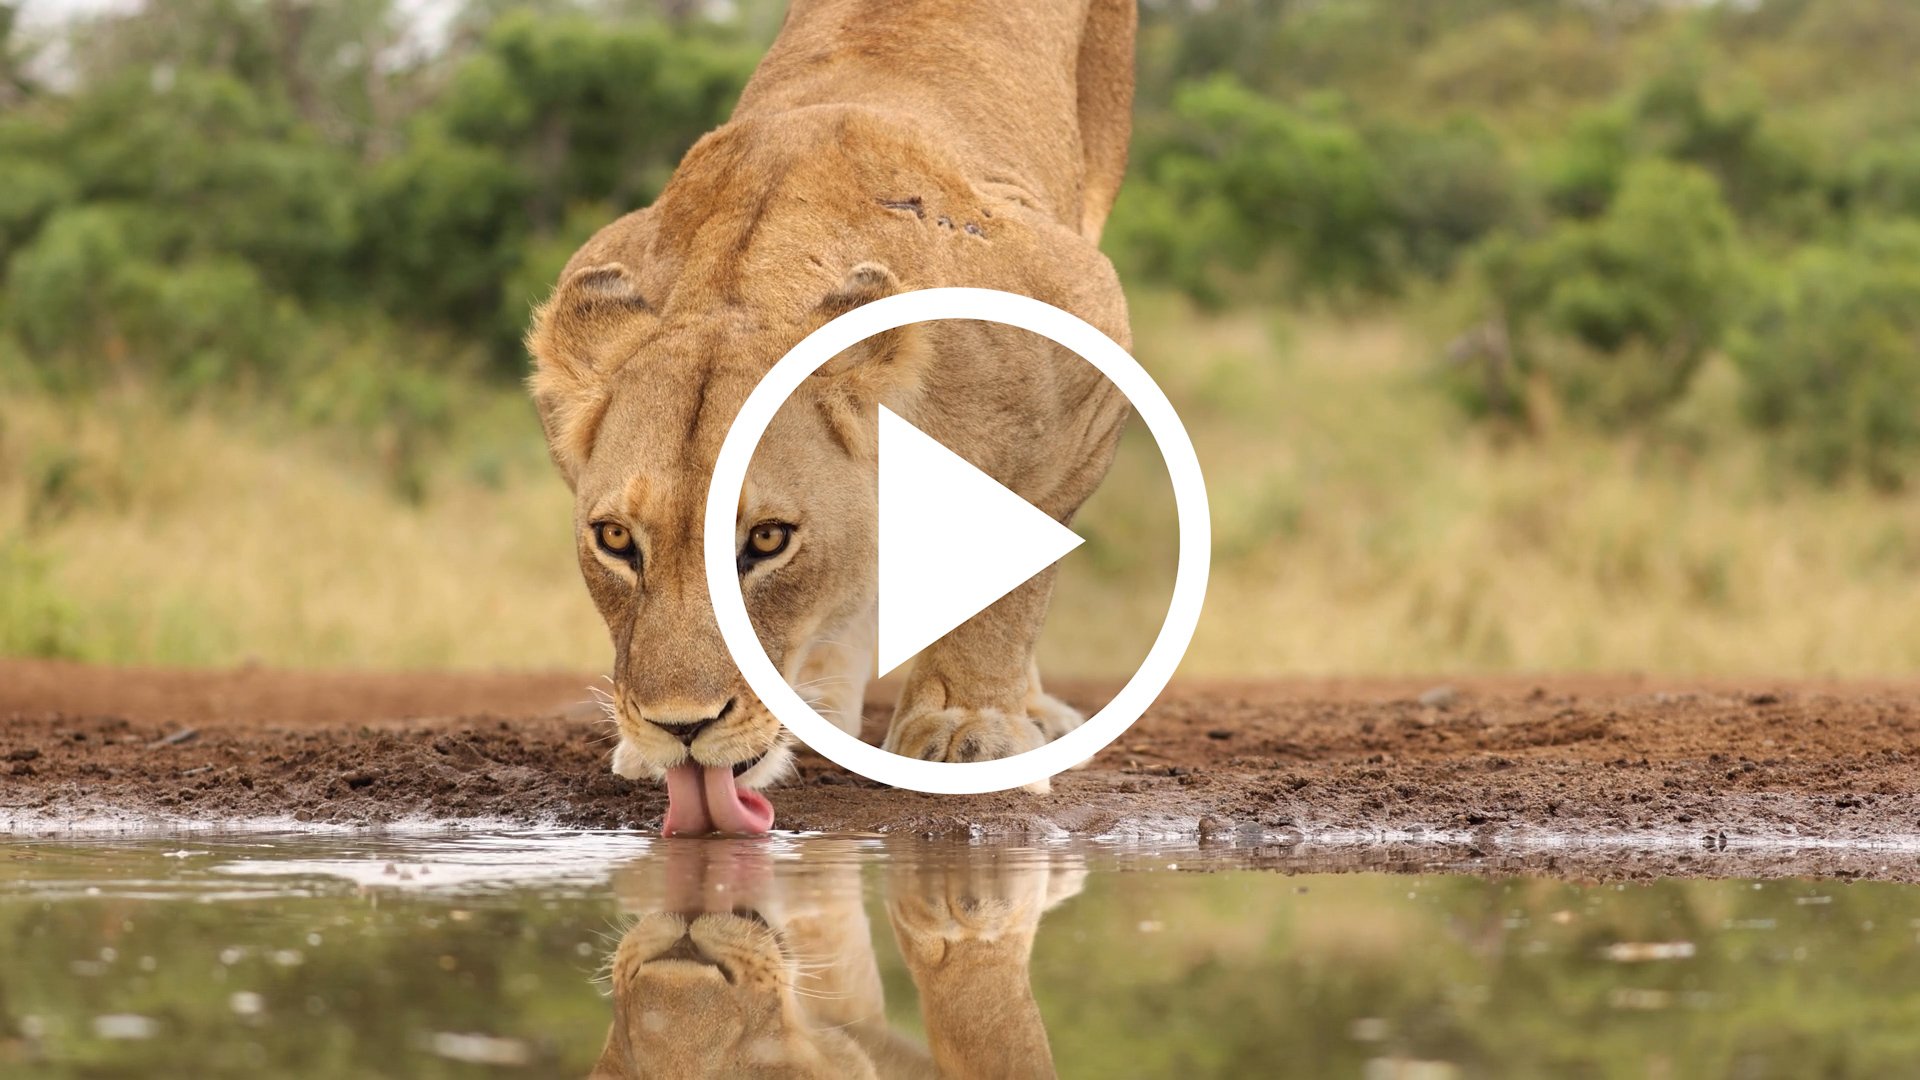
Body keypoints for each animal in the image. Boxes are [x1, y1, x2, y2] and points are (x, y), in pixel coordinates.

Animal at [527, 0, 1137, 834]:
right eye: (616, 540)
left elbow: (1008, 575)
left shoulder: (1087, 333)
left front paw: (968, 730)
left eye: (767, 541)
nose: (681, 727)